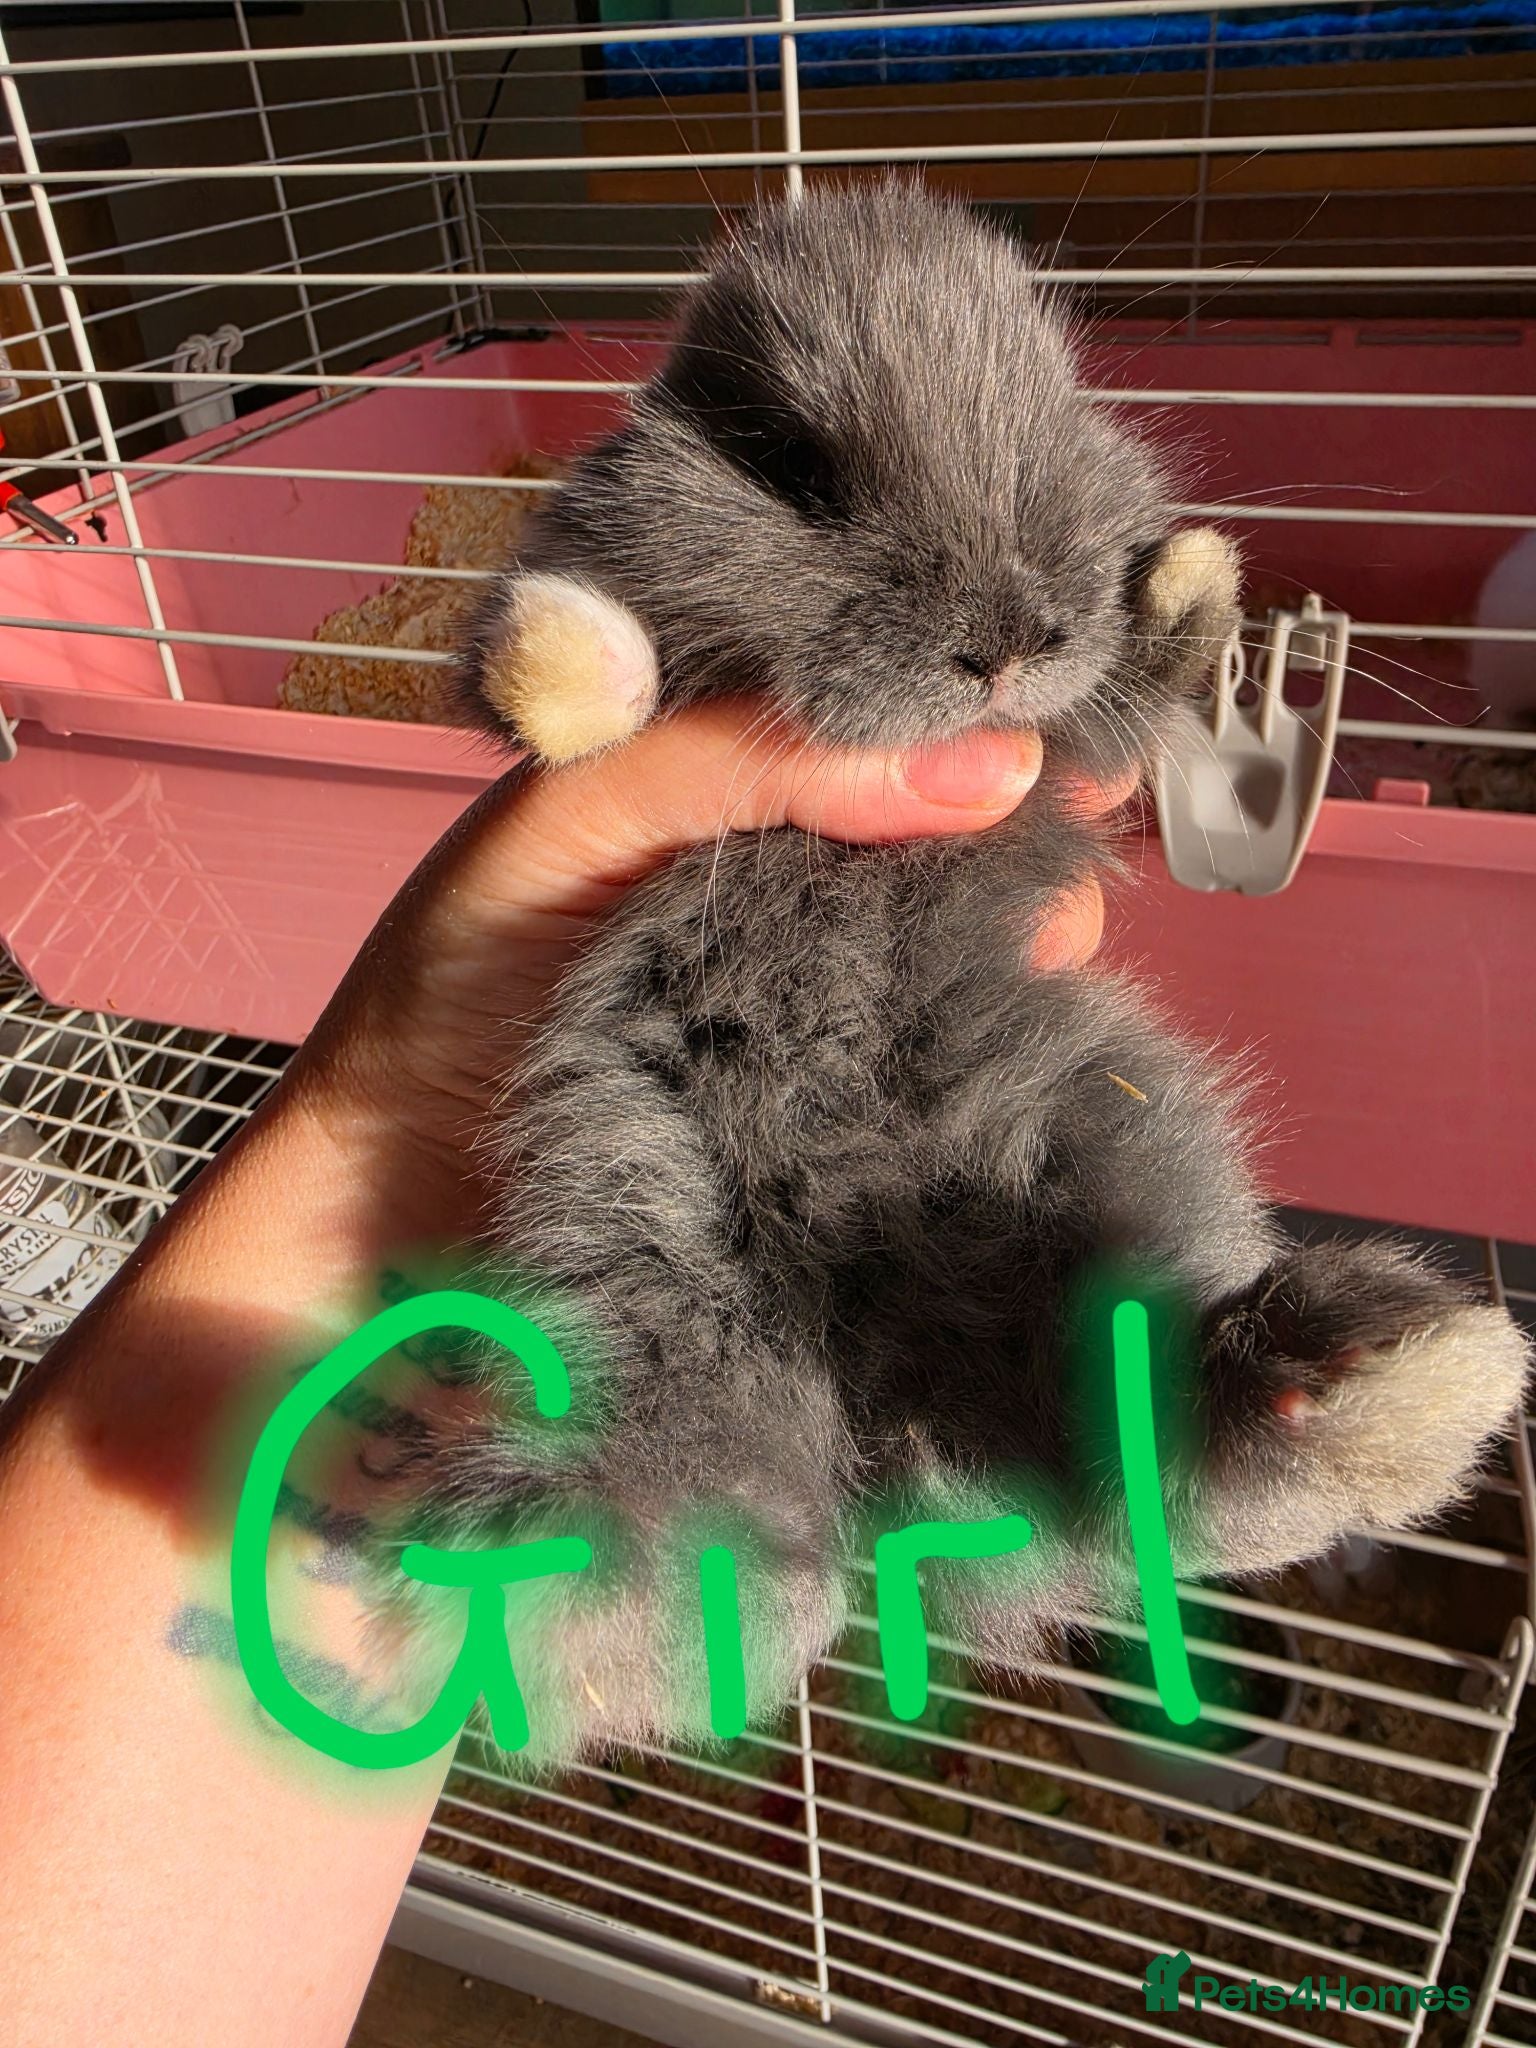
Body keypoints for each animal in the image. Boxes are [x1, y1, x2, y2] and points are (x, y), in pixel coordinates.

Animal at [378, 182, 1527, 1772]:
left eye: (1061, 418)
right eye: (791, 465)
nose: (1009, 642)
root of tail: (887, 1398)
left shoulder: (1073, 751)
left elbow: (1123, 711)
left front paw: (1192, 583)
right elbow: (563, 692)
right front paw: (562, 650)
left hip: (1098, 1155)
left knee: (1158, 1436)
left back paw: (1396, 1394)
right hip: (639, 1233)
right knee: (710, 1492)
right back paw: (570, 1621)